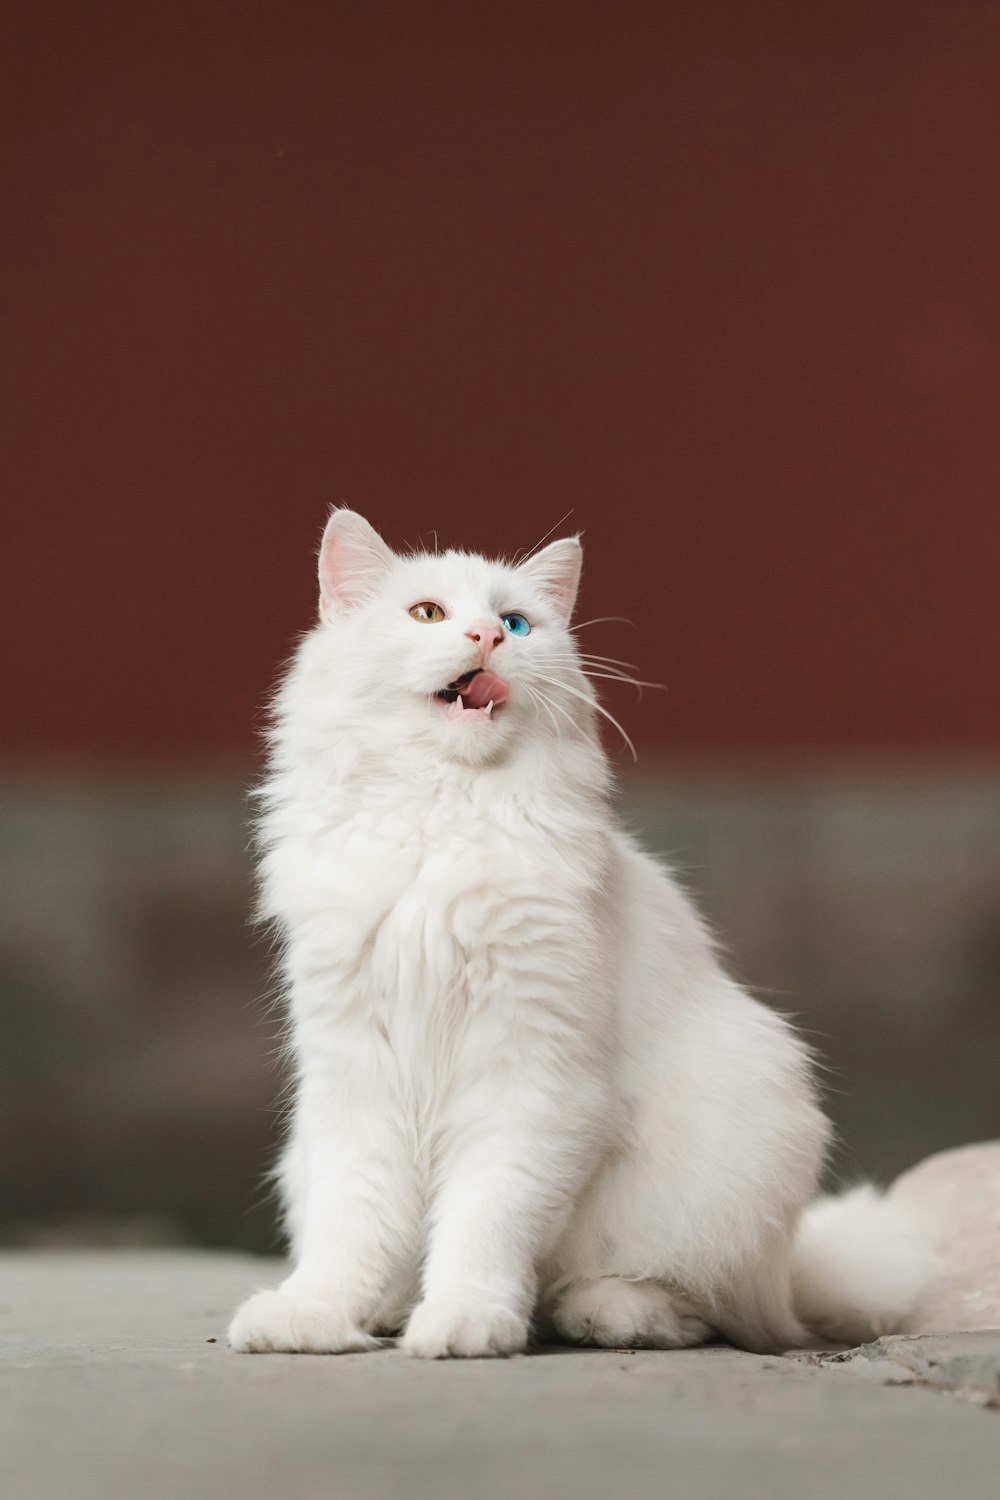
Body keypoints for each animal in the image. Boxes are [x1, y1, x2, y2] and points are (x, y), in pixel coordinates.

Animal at [226, 510, 929, 1356]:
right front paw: (318, 1315)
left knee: (687, 1301)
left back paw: (606, 1314)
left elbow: (484, 1224)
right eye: (427, 614)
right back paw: (395, 1309)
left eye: (516, 623)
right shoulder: (355, 1071)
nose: (486, 637)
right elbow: (352, 1225)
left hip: (732, 1151)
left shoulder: (530, 1075)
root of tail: (789, 1281)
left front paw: (465, 1321)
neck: (441, 815)